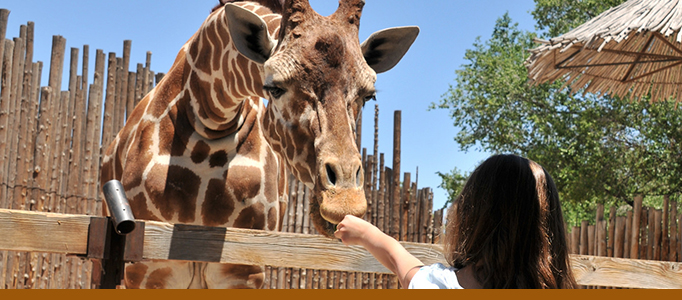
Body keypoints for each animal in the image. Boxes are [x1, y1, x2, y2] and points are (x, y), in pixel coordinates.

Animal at [101, 0, 418, 290]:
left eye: (368, 95)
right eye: (274, 88)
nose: (344, 202)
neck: (208, 129)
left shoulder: (243, 269)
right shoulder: (149, 268)